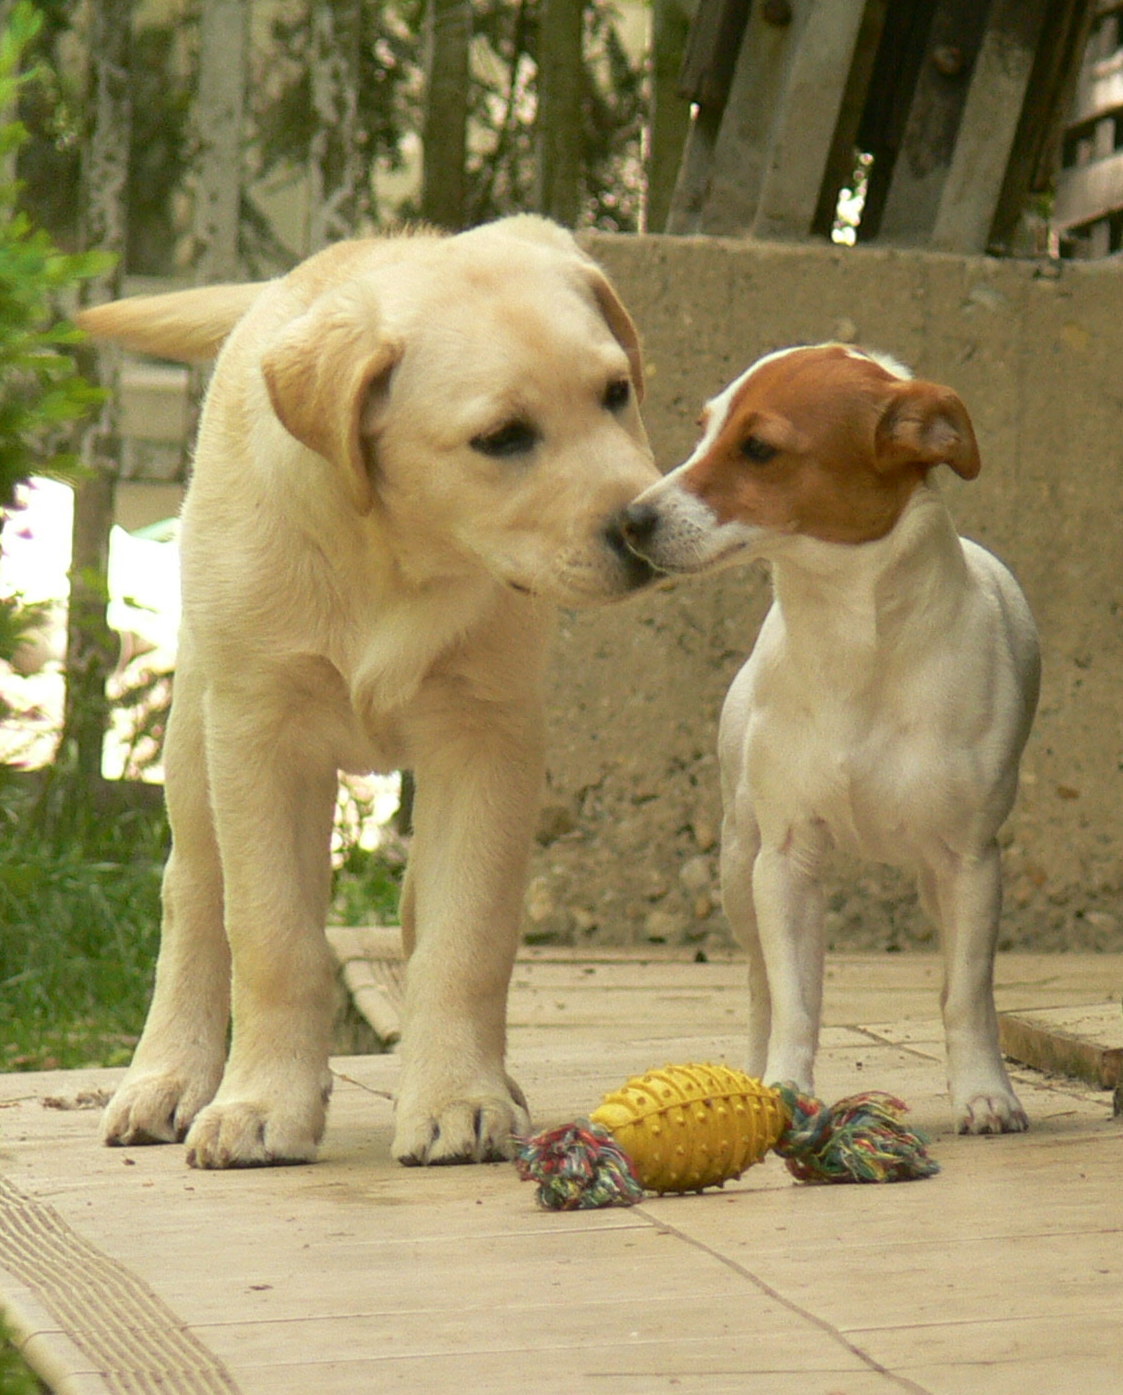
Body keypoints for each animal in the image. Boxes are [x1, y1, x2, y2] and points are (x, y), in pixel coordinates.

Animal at [80, 214, 658, 1166]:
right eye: (503, 437)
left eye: (615, 392)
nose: (647, 527)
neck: (397, 563)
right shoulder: (261, 736)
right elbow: (272, 937)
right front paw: (262, 1103)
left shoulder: (488, 738)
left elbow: (467, 937)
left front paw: (458, 1095)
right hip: (196, 742)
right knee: (194, 895)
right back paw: (169, 1078)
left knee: (423, 912)